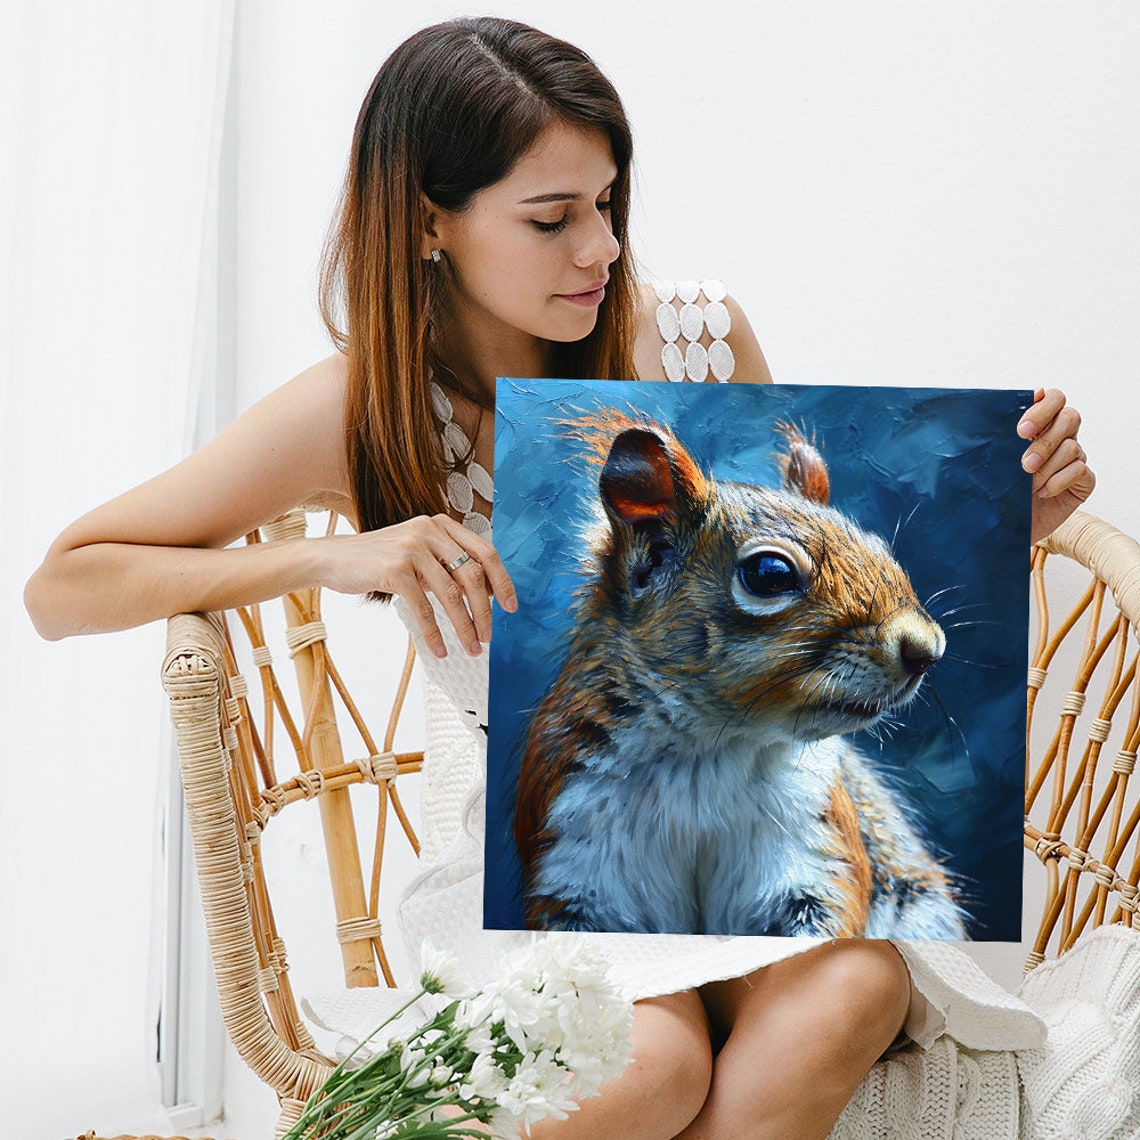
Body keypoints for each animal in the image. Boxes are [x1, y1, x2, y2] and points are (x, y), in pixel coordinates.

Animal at [512, 410, 968, 939]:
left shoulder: (816, 852)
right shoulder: (573, 853)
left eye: (878, 546)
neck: (707, 749)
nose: (927, 649)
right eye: (770, 574)